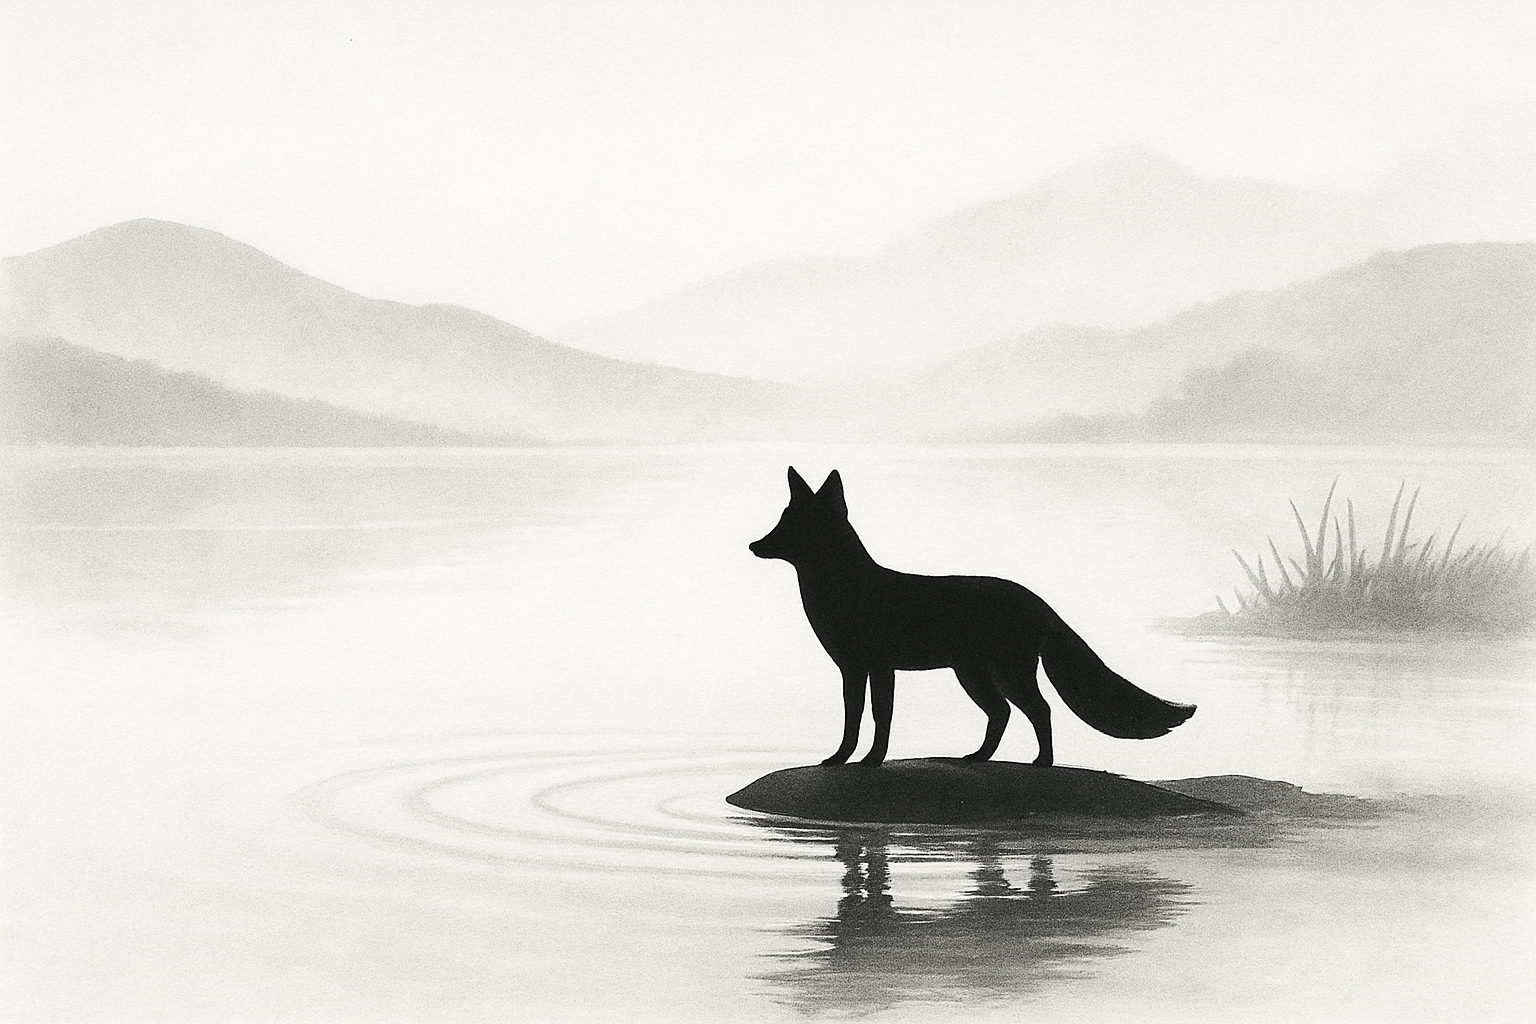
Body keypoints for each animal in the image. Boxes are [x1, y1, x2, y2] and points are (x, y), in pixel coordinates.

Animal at [750, 467, 1195, 767]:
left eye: (791, 527)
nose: (753, 545)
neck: (847, 591)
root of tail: (1039, 602)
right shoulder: (852, 670)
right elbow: (852, 720)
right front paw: (840, 759)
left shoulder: (880, 668)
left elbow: (880, 718)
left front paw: (872, 761)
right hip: (973, 675)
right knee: (1003, 713)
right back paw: (980, 757)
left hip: (1004, 674)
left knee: (1039, 710)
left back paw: (1042, 763)